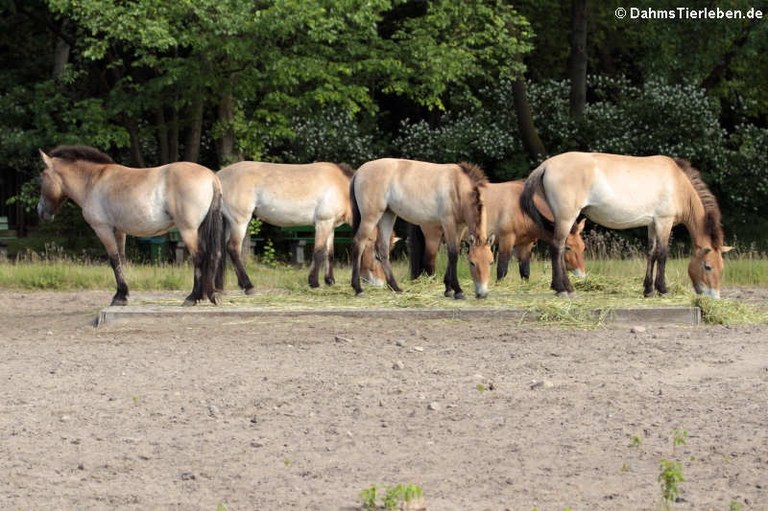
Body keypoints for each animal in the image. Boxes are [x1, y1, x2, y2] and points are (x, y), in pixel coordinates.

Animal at [36, 144, 225, 306]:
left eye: (42, 176)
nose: (40, 211)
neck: (93, 181)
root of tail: (211, 177)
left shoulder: (103, 229)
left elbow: (114, 260)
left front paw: (119, 296)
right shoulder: (119, 231)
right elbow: (121, 258)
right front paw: (123, 295)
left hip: (188, 230)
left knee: (199, 257)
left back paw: (193, 297)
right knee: (214, 254)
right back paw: (210, 295)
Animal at [218, 162, 388, 294]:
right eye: (377, 256)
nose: (381, 283)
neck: (341, 187)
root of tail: (219, 176)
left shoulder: (330, 226)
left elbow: (329, 253)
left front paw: (330, 281)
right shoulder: (323, 223)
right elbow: (319, 252)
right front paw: (314, 282)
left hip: (229, 223)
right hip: (239, 221)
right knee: (233, 248)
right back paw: (248, 286)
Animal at [348, 158, 492, 298]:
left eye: (491, 262)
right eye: (472, 263)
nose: (482, 294)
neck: (457, 186)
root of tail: (359, 172)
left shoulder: (460, 227)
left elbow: (454, 252)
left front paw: (448, 289)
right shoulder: (448, 223)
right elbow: (453, 254)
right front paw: (458, 290)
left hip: (387, 215)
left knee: (382, 248)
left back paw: (395, 287)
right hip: (370, 217)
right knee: (358, 244)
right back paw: (358, 289)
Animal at [408, 180, 588, 284]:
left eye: (583, 248)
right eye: (568, 247)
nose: (582, 275)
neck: (523, 207)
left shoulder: (525, 244)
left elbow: (525, 271)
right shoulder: (506, 240)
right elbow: (502, 268)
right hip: (433, 236)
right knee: (429, 262)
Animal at [520, 150, 732, 298]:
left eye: (722, 268)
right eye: (708, 266)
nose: (714, 297)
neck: (678, 183)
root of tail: (546, 165)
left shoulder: (652, 224)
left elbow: (651, 254)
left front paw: (648, 290)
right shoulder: (664, 221)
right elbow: (662, 254)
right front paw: (663, 289)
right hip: (566, 217)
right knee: (558, 248)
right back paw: (565, 289)